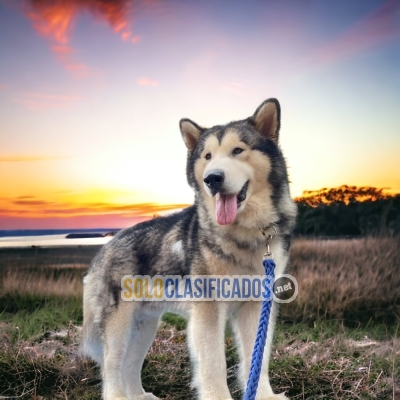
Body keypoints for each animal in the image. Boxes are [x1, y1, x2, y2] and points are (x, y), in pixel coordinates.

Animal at [82, 97, 296, 400]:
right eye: (207, 156)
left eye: (238, 150)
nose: (212, 178)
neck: (246, 233)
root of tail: (106, 245)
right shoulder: (208, 309)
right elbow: (214, 363)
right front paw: (219, 397)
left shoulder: (256, 305)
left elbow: (257, 359)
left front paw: (264, 395)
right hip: (118, 324)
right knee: (111, 366)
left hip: (145, 325)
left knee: (130, 364)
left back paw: (139, 395)